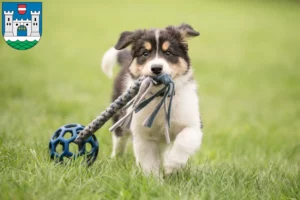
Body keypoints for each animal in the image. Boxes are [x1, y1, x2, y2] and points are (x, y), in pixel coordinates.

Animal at [102, 23, 203, 177]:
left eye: (168, 53)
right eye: (145, 53)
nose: (156, 68)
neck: (159, 97)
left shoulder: (193, 125)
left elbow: (184, 141)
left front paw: (171, 166)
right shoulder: (142, 135)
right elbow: (149, 163)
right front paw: (154, 180)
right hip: (120, 118)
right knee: (119, 140)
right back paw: (115, 159)